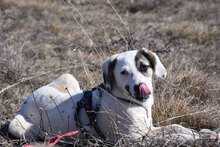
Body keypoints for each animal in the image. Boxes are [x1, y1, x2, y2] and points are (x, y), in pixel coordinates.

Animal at [8, 48, 218, 145]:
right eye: (123, 72)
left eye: (144, 67)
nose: (141, 88)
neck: (133, 105)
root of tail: (27, 99)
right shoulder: (132, 141)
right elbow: (174, 137)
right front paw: (199, 139)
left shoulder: (149, 130)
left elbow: (175, 128)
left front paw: (201, 133)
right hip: (17, 127)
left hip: (68, 77)